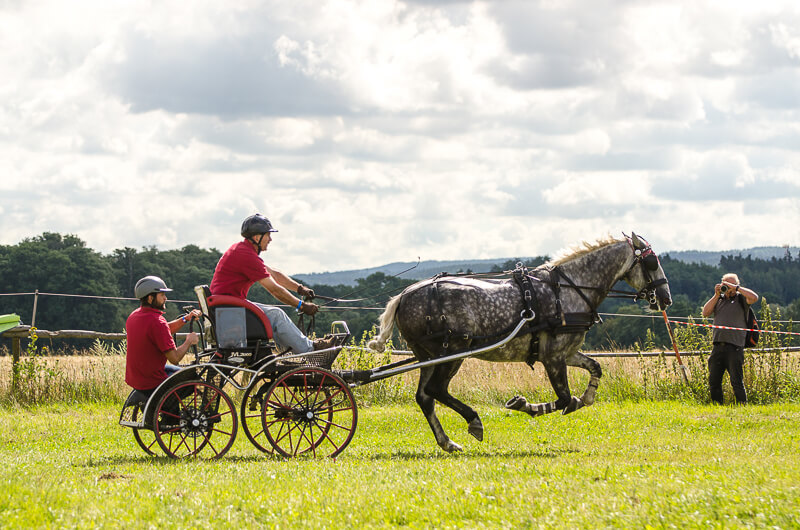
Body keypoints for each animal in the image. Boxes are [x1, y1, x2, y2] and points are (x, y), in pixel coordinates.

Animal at [367, 233, 672, 452]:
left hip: (427, 356)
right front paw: (524, 404)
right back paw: (473, 421)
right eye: (652, 262)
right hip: (453, 352)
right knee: (436, 390)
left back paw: (447, 442)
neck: (567, 291)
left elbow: (595, 369)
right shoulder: (553, 357)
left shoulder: (566, 352)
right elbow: (564, 398)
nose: (666, 298)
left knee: (425, 397)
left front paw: (586, 397)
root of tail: (404, 295)